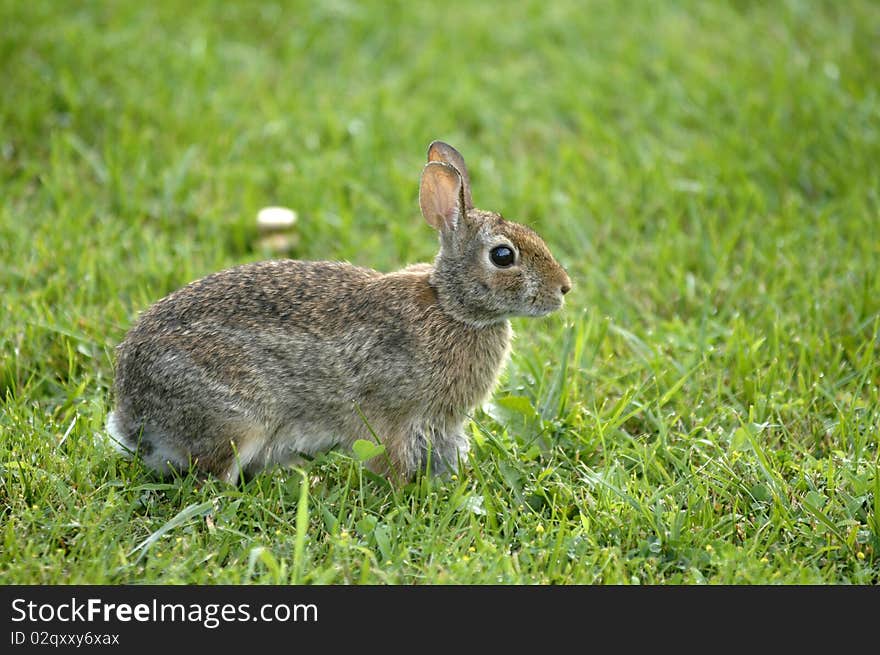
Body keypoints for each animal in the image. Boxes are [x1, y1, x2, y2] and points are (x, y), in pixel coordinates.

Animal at [105, 141, 572, 484]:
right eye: (502, 256)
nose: (564, 289)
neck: (451, 306)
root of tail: (132, 413)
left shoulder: (443, 425)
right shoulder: (395, 421)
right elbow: (390, 459)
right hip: (236, 421)